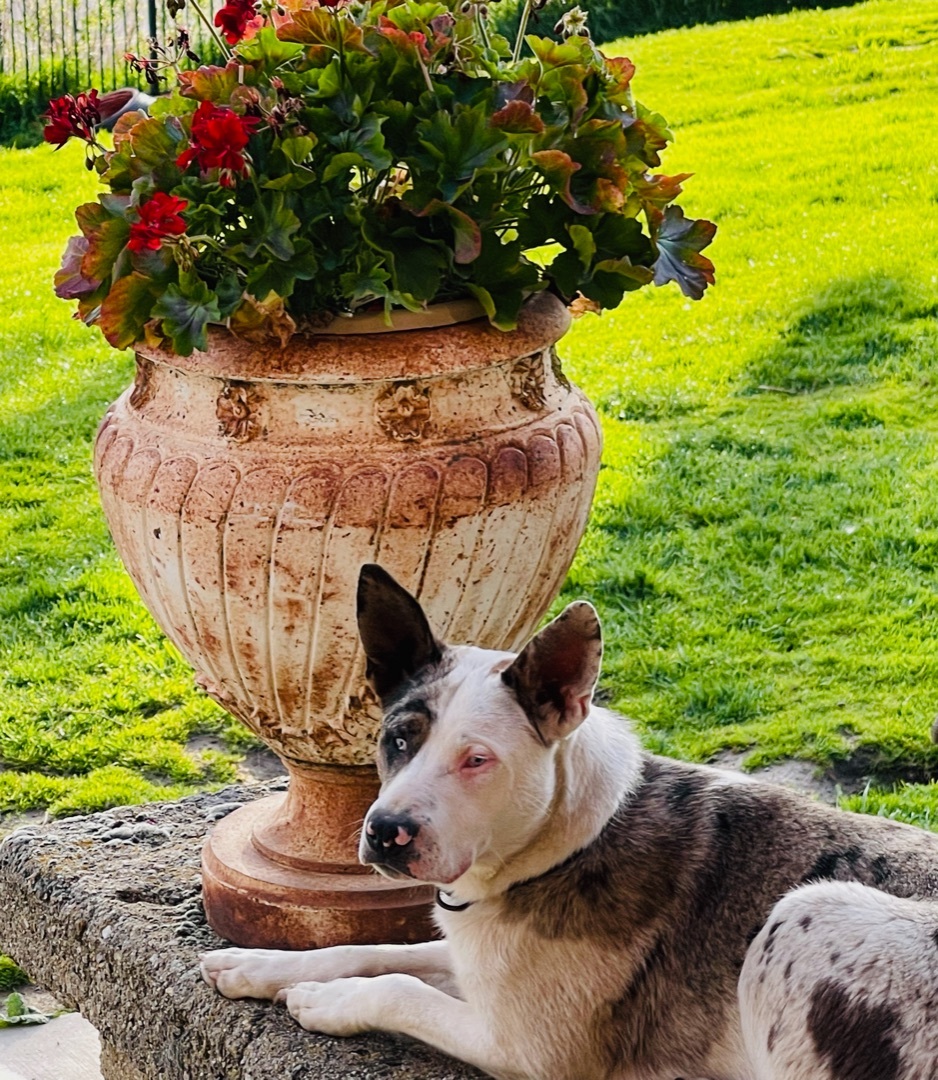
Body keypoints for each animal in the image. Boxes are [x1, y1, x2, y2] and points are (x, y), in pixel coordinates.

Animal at [200, 565, 936, 1080]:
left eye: (477, 760)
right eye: (399, 739)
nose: (385, 831)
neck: (563, 844)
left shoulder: (521, 1046)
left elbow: (399, 986)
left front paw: (326, 1001)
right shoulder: (478, 965)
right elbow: (375, 949)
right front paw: (257, 964)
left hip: (808, 908)